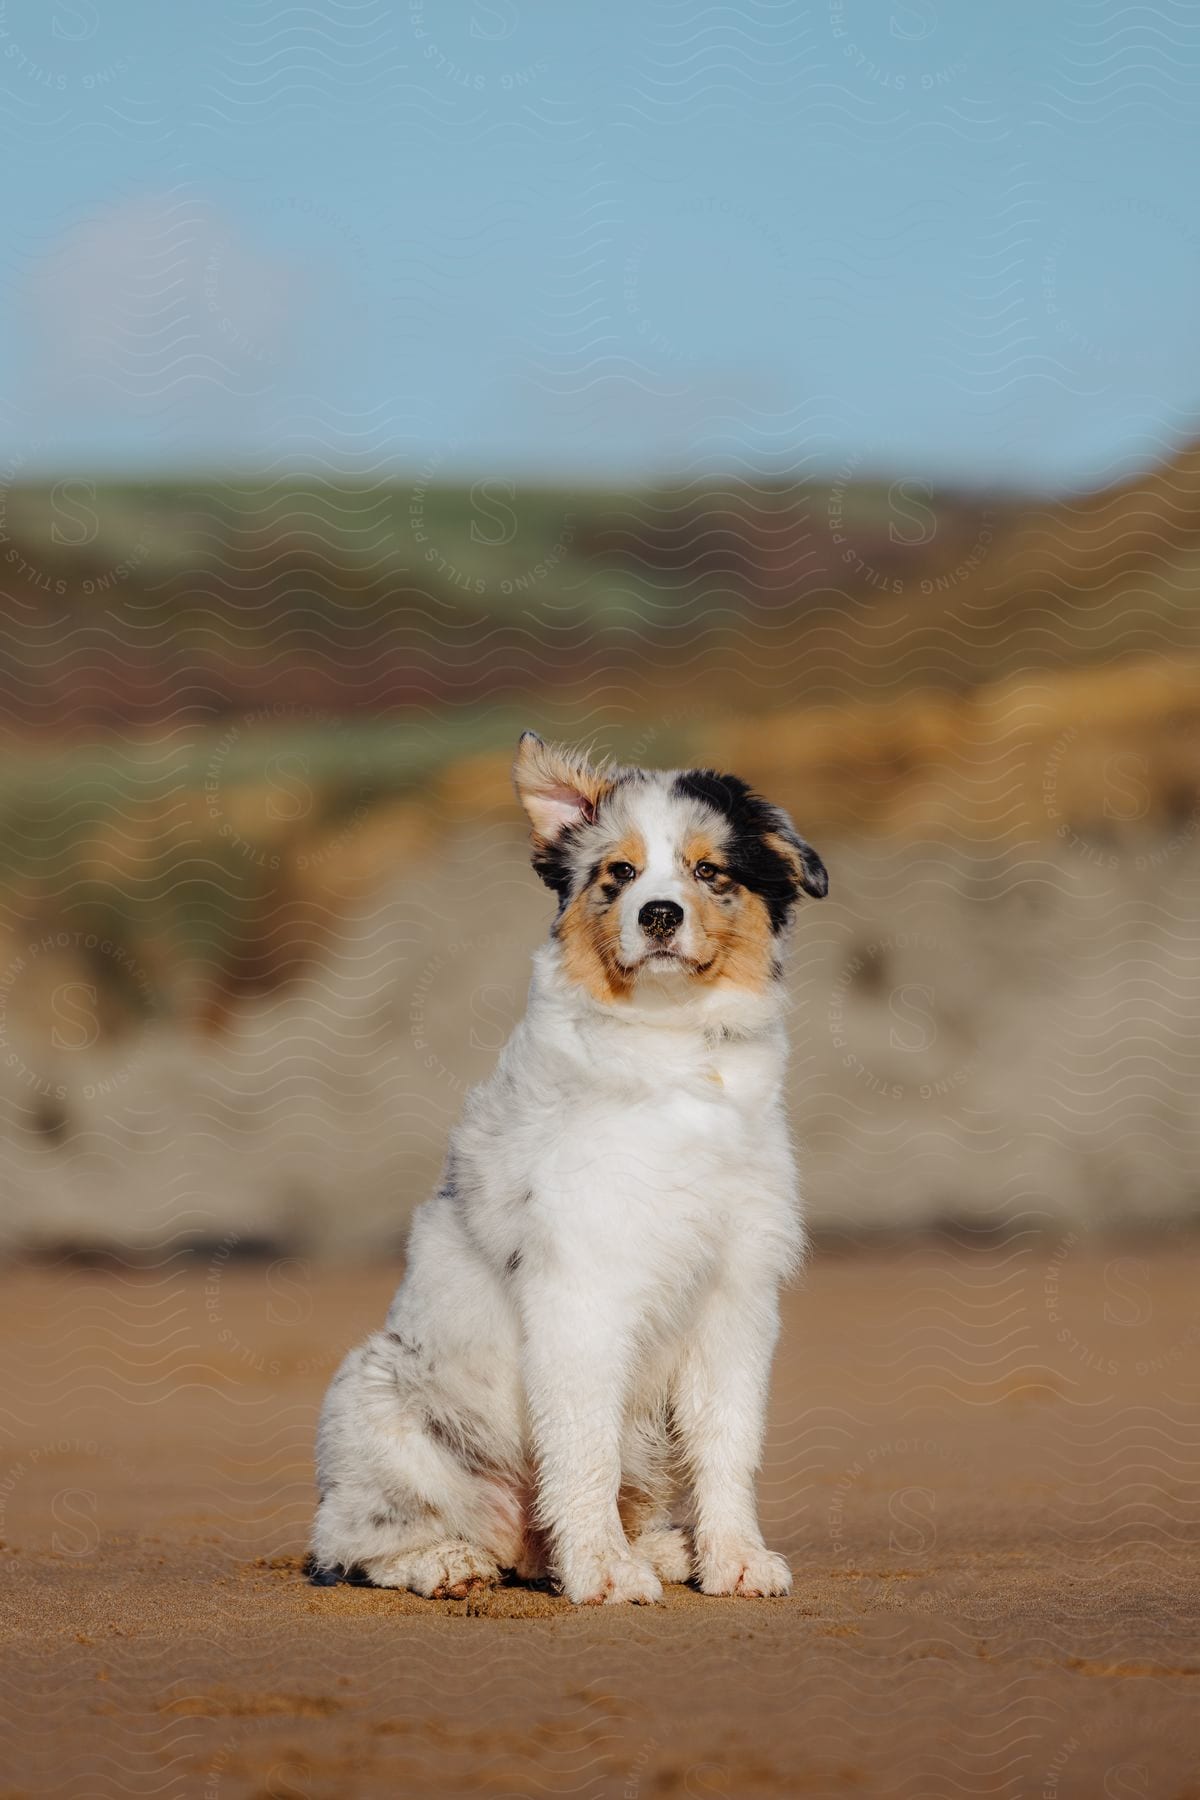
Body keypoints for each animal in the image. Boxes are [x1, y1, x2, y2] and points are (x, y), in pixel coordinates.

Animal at [313, 730, 827, 1605]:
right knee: (353, 1539)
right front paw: (603, 1572)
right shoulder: (583, 1288)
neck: (673, 1053)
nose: (659, 914)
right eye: (618, 871)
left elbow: (728, 1442)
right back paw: (450, 1563)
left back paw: (655, 1549)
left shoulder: (736, 1295)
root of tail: (516, 1542)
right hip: (372, 1398)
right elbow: (583, 1447)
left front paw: (734, 1559)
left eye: (708, 872)